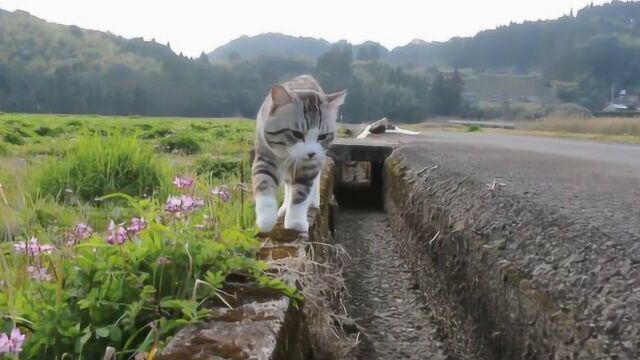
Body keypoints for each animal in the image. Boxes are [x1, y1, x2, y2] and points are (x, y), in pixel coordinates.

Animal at [252, 76, 348, 233]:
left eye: (323, 136)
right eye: (296, 134)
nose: (311, 153)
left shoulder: (310, 166)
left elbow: (301, 194)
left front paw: (295, 222)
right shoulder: (265, 156)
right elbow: (263, 182)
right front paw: (266, 219)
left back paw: (313, 202)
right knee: (288, 185)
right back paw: (283, 208)